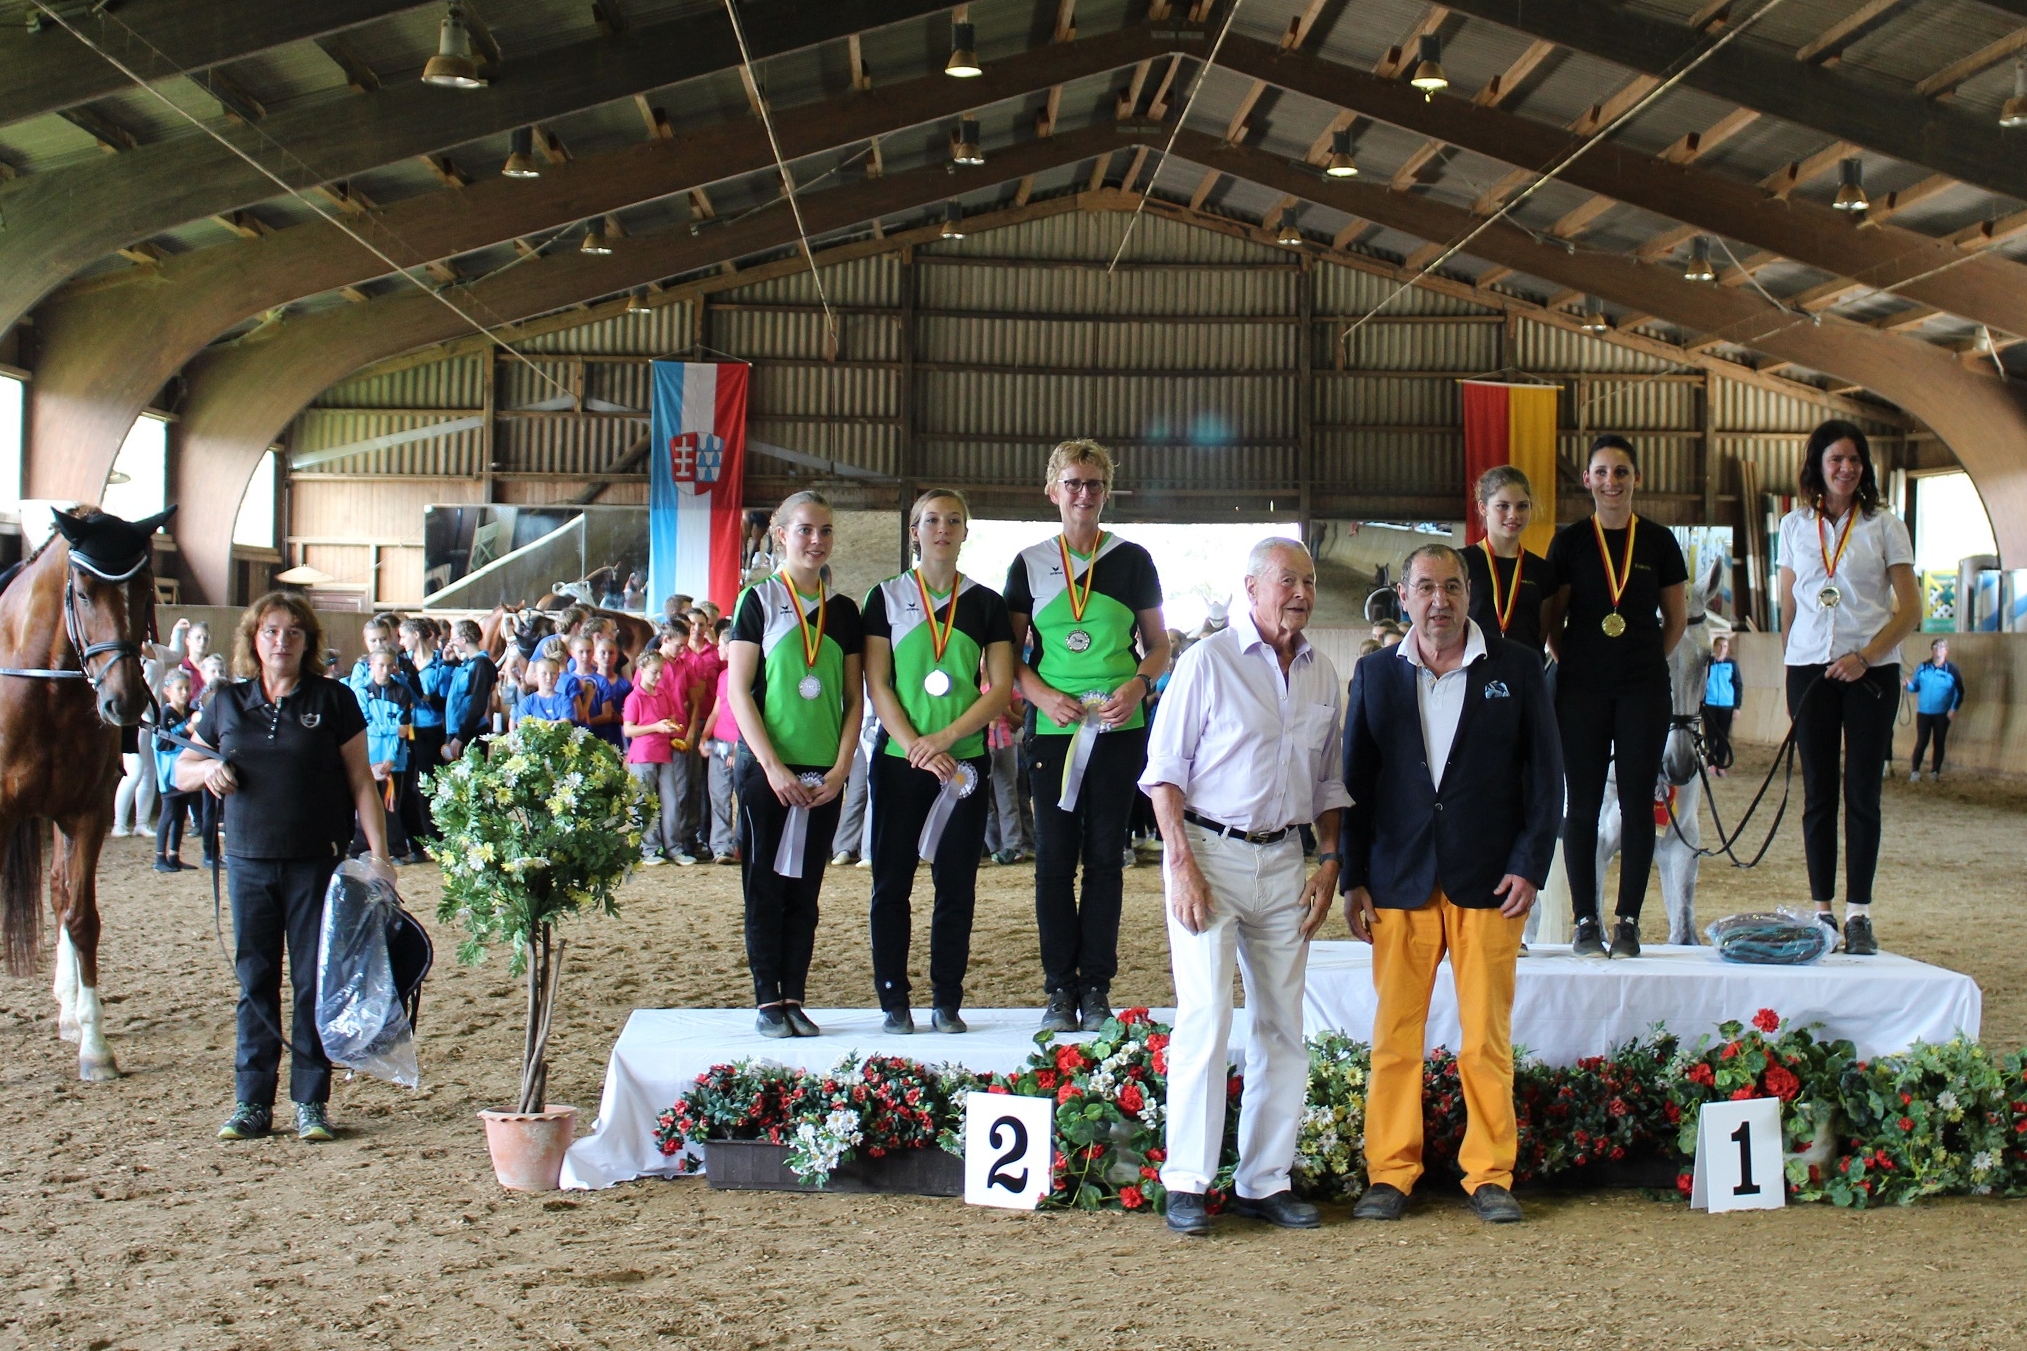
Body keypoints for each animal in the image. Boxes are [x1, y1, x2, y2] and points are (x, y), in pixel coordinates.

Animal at [0, 512, 171, 1085]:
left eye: (144, 590)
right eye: (82, 591)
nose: (125, 701)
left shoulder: (86, 813)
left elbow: (81, 918)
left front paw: (95, 1047)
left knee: (57, 891)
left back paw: (69, 1012)